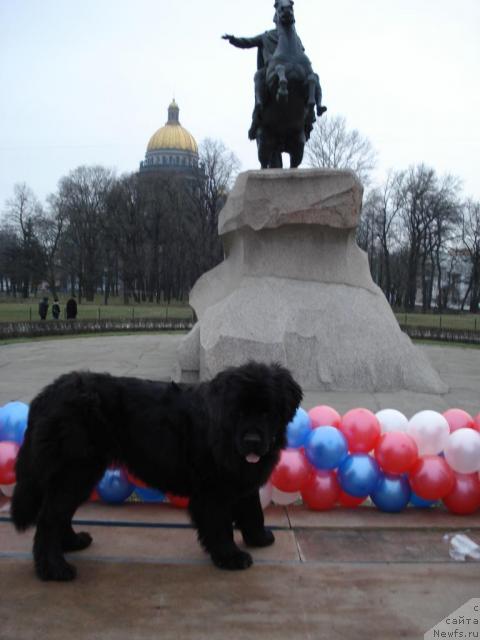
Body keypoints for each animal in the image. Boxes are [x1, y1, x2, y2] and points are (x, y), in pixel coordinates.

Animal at [10, 360, 300, 580]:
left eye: (267, 412)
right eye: (238, 412)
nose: (252, 440)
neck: (225, 433)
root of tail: (46, 395)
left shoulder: (241, 476)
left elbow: (253, 510)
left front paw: (259, 537)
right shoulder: (212, 489)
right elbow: (220, 525)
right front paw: (230, 556)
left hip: (80, 474)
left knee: (60, 513)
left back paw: (72, 543)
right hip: (76, 471)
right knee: (49, 518)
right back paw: (54, 569)